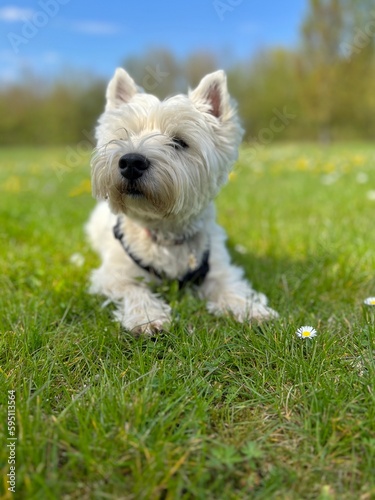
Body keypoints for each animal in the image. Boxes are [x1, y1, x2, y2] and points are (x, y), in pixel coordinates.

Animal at [86, 66, 280, 332]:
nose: (131, 162)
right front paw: (147, 317)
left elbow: (230, 288)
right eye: (126, 135)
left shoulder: (218, 270)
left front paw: (251, 310)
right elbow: (135, 289)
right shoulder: (113, 275)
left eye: (179, 142)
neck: (165, 233)